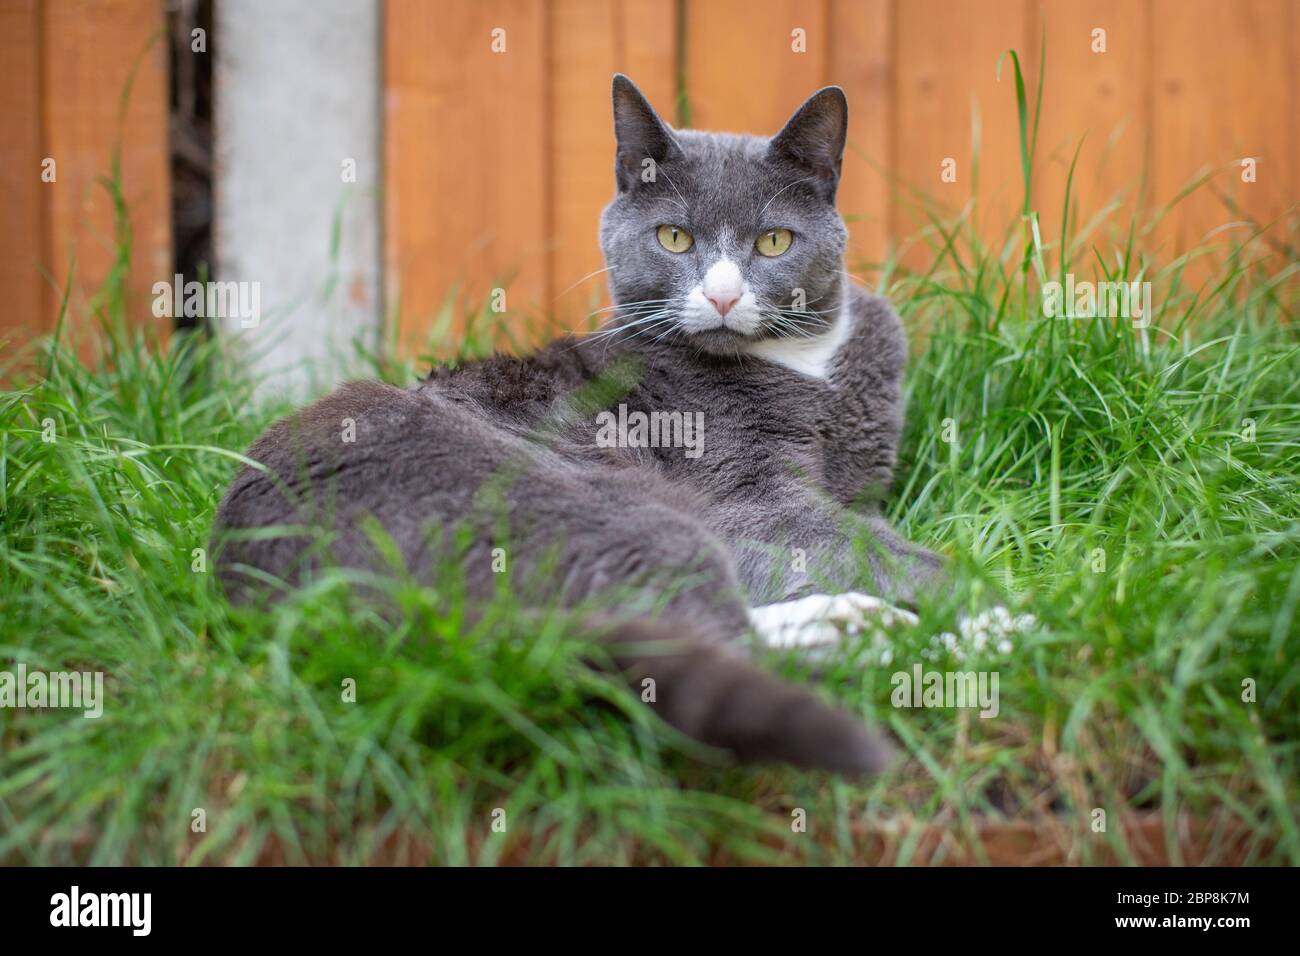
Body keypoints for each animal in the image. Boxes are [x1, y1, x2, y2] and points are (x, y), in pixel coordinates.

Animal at [210, 74, 946, 780]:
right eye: (674, 237)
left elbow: (856, 520)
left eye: (774, 241)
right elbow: (856, 542)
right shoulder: (749, 498)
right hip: (603, 509)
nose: (723, 295)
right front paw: (961, 580)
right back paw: (914, 631)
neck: (808, 364)